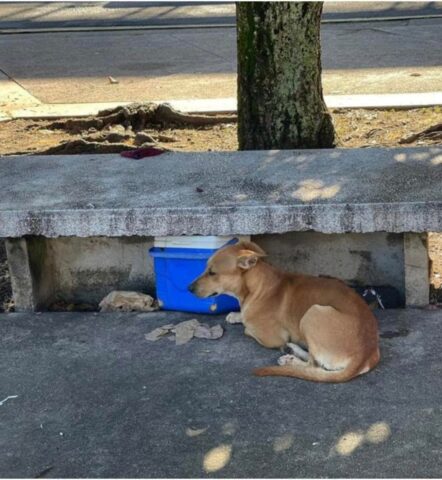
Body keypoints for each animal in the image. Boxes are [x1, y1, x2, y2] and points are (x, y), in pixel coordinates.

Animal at [187, 240, 380, 382]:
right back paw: (292, 349)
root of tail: (364, 355)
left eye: (212, 272)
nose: (188, 288)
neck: (259, 286)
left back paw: (290, 358)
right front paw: (236, 315)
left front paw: (242, 319)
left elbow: (247, 329)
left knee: (313, 365)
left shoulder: (272, 337)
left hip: (313, 313)